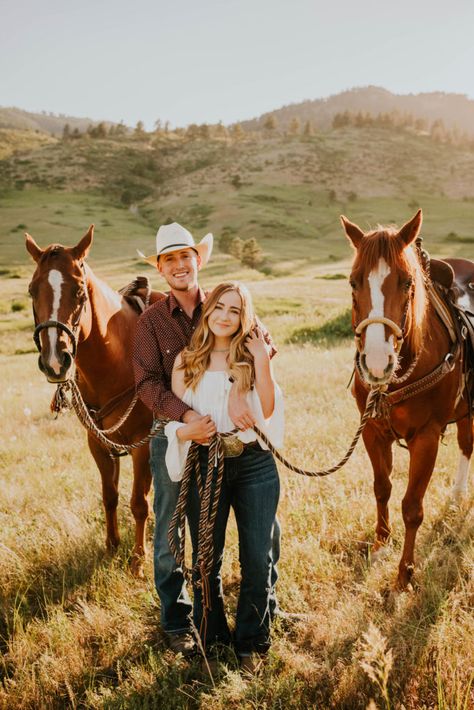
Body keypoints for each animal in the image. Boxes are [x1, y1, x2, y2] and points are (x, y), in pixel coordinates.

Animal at [25, 228, 164, 580]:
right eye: (32, 290)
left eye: (78, 291)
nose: (54, 361)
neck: (119, 357)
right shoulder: (97, 443)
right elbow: (110, 496)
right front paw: (111, 547)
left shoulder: (142, 445)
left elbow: (138, 502)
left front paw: (138, 560)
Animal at [342, 210, 472, 588]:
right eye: (353, 282)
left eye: (406, 283)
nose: (376, 361)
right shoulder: (372, 431)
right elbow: (382, 488)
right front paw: (380, 546)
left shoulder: (426, 437)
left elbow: (412, 507)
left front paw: (405, 573)